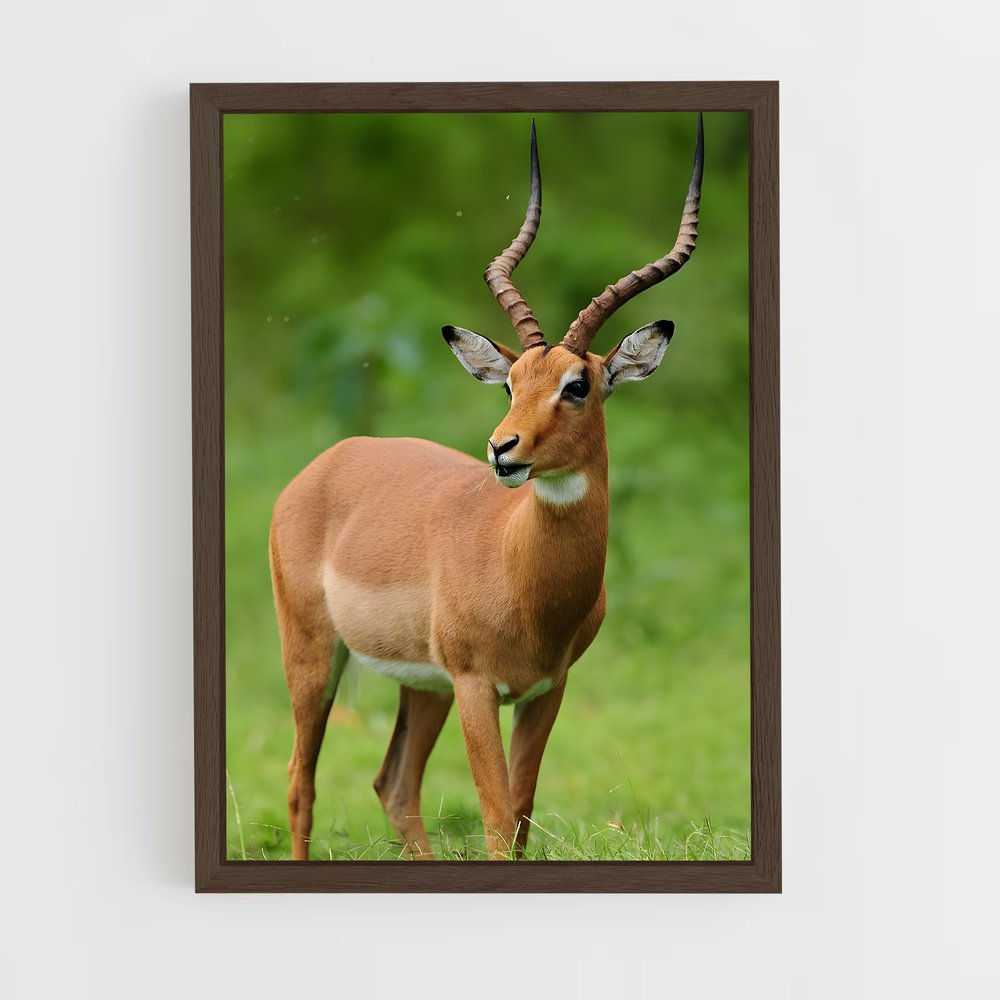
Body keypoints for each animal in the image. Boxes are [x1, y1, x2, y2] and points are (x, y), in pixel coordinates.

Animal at [270, 115, 704, 860]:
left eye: (577, 384)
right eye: (511, 383)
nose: (503, 449)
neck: (520, 568)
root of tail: (326, 463)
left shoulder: (545, 689)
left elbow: (522, 813)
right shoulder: (477, 688)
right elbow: (498, 816)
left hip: (423, 687)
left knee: (394, 784)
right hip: (314, 654)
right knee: (302, 781)